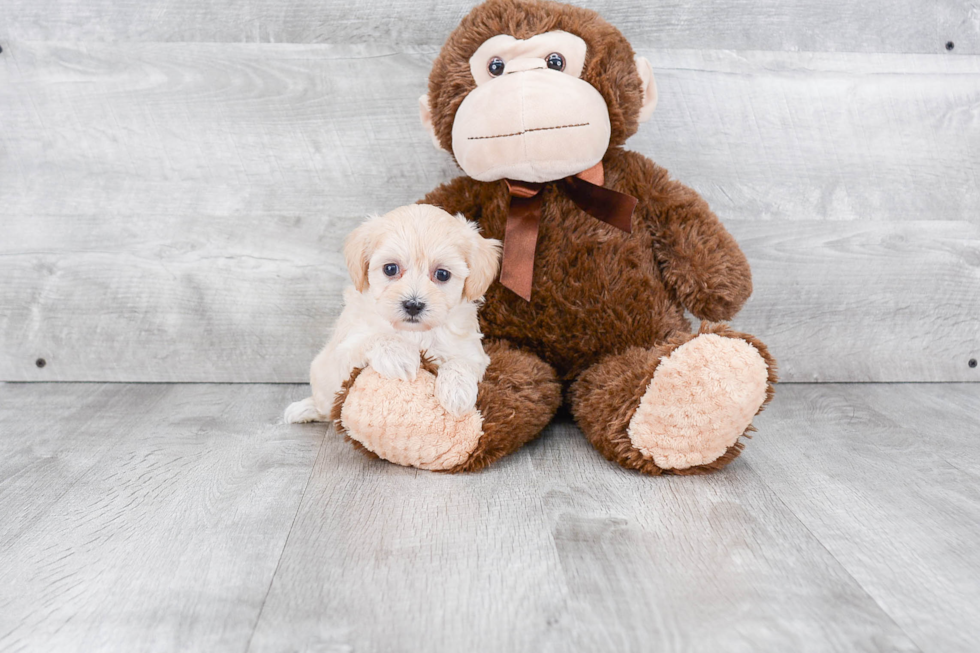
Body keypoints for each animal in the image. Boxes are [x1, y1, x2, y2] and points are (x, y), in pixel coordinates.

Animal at [282, 206, 498, 426]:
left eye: (442, 274)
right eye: (390, 268)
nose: (413, 305)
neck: (414, 332)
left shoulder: (472, 351)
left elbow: (463, 362)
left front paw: (457, 392)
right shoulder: (345, 349)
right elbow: (374, 337)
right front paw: (399, 356)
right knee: (326, 406)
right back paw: (304, 409)